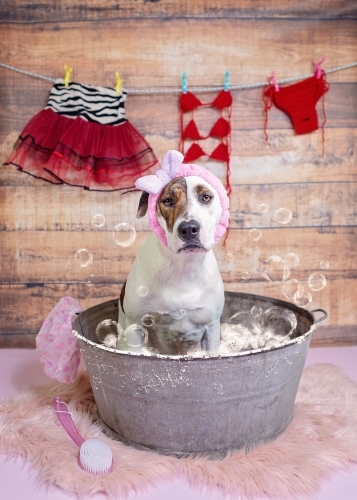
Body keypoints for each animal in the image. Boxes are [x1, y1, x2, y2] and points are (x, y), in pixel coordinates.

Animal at [118, 149, 229, 356]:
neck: (182, 267)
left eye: (206, 197)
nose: (189, 229)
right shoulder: (135, 327)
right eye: (168, 201)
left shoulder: (211, 329)